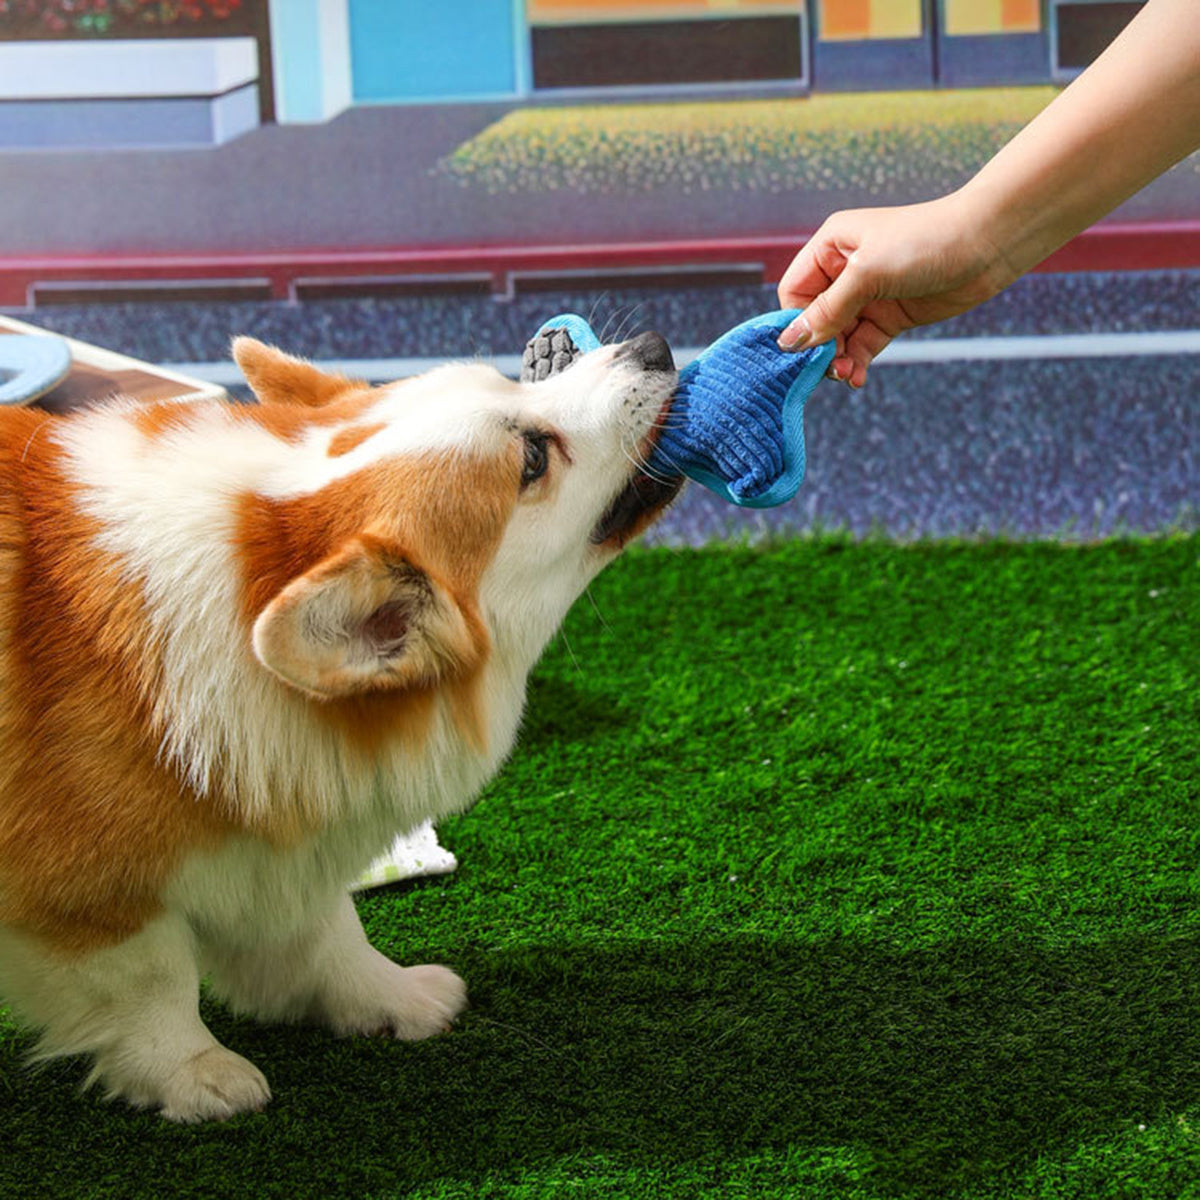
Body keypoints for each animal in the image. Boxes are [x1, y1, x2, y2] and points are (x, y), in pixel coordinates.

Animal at [0, 326, 681, 1113]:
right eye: (534, 459)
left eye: (508, 383)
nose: (656, 347)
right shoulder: (91, 894)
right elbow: (153, 983)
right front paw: (197, 1075)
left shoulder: (271, 842)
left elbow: (327, 931)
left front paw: (390, 997)